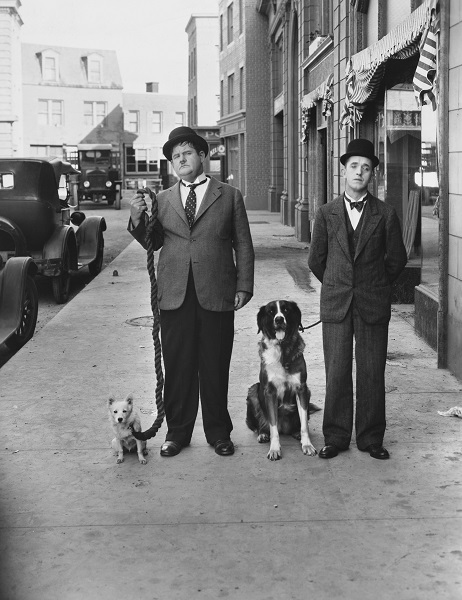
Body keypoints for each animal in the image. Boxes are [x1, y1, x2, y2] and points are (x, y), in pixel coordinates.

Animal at [245, 302, 318, 462]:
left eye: (286, 310)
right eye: (271, 311)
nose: (279, 319)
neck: (283, 350)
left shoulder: (302, 389)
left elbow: (304, 424)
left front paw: (307, 445)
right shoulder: (269, 392)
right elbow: (273, 427)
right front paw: (274, 449)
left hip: (308, 393)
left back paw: (296, 433)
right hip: (253, 391)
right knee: (261, 425)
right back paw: (262, 433)